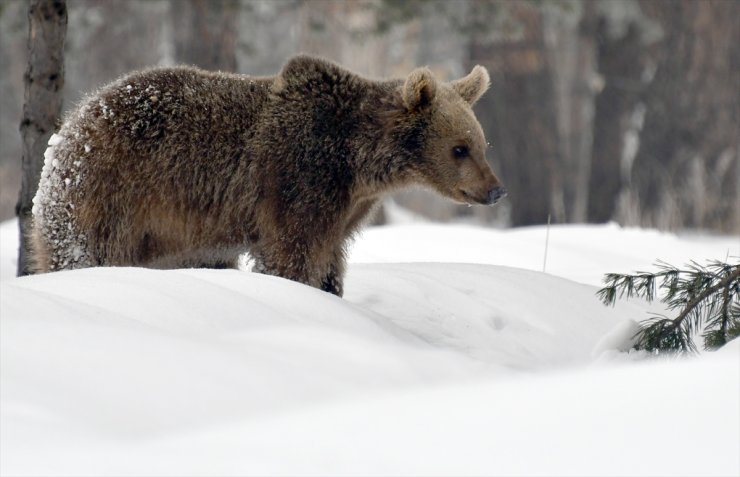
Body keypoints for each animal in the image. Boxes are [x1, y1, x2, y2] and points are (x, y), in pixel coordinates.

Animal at [30, 54, 502, 294]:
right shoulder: (298, 179)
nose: (495, 190)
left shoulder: (345, 209)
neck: (358, 162)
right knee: (83, 252)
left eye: (482, 145)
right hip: (110, 193)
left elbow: (329, 260)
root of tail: (71, 124)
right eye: (459, 148)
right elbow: (292, 253)